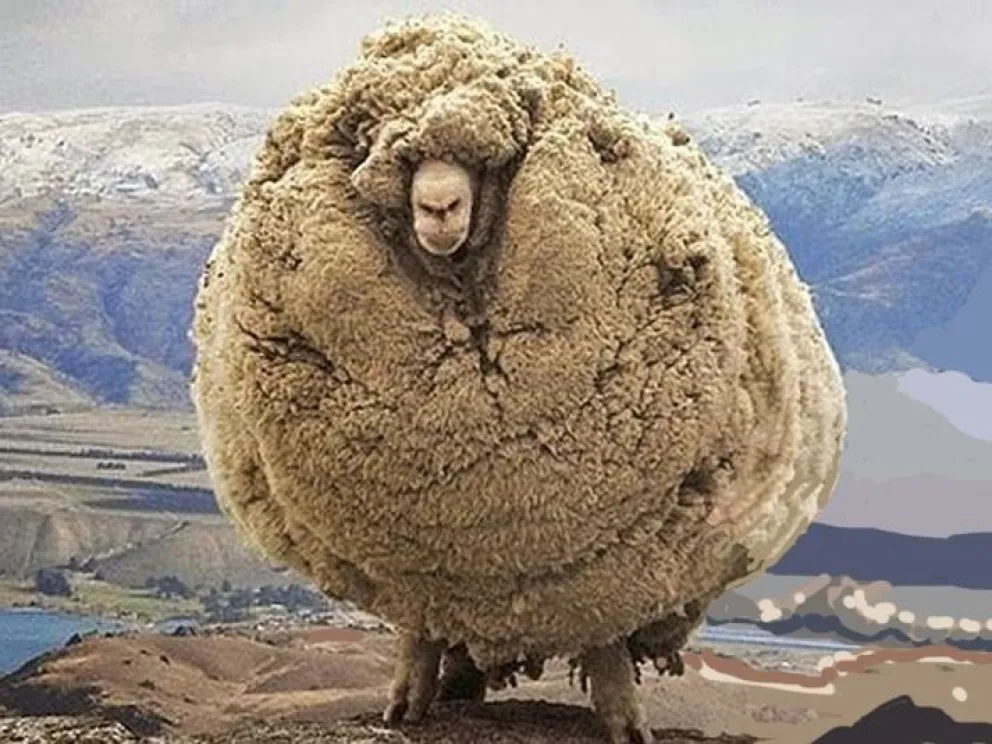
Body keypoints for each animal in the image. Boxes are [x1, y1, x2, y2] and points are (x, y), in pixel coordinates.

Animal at [189, 13, 847, 743]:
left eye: (489, 164)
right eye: (396, 159)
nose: (439, 207)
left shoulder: (613, 562)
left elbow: (606, 643)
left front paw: (623, 717)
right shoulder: (415, 566)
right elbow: (417, 630)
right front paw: (406, 701)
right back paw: (452, 684)